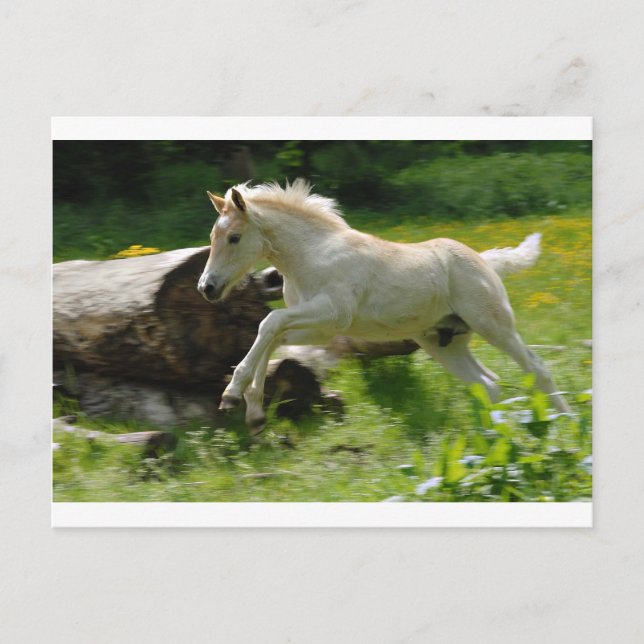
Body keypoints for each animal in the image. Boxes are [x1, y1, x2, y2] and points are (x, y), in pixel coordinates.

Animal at [198, 179, 571, 434]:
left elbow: (270, 322)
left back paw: (565, 425)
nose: (207, 287)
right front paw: (253, 412)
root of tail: (485, 261)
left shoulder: (333, 312)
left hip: (494, 325)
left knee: (538, 369)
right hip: (443, 343)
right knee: (488, 384)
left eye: (234, 238)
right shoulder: (321, 329)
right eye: (213, 237)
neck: (310, 255)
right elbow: (272, 338)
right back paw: (494, 436)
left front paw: (231, 394)